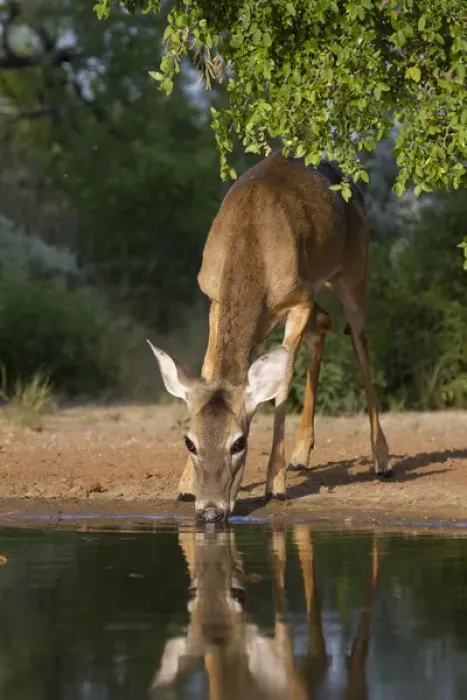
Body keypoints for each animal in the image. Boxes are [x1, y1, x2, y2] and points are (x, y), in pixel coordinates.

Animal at [147, 151, 392, 523]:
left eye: (239, 443)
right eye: (190, 441)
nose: (210, 512)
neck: (252, 241)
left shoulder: (299, 298)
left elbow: (283, 380)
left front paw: (275, 483)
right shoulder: (213, 297)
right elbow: (208, 368)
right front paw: (185, 484)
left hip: (353, 272)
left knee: (359, 340)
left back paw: (382, 458)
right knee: (324, 326)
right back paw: (301, 455)